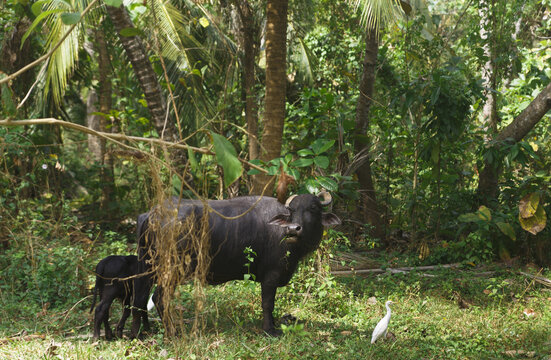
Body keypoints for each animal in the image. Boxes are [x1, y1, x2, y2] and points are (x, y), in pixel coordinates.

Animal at [130, 193, 340, 336]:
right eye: (292, 211)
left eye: (313, 208)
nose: (293, 229)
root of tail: (152, 214)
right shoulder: (270, 276)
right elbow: (268, 303)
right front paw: (269, 330)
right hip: (172, 269)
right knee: (159, 297)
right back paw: (172, 332)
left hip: (147, 267)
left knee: (141, 298)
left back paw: (144, 331)